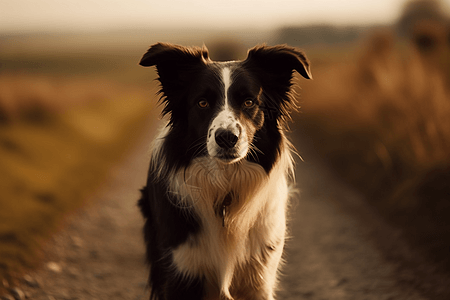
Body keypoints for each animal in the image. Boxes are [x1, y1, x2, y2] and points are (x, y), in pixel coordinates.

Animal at [139, 42, 312, 300]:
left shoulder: (259, 276)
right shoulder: (181, 270)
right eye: (202, 103)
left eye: (249, 102)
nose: (227, 138)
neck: (225, 185)